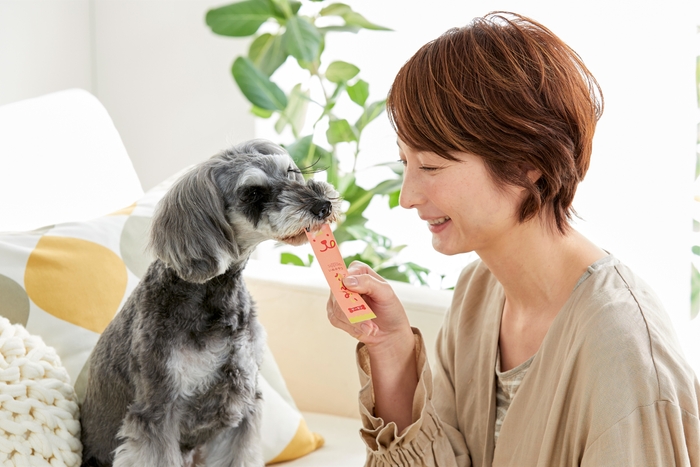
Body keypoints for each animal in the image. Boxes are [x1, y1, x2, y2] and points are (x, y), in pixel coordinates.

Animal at [80, 140, 342, 467]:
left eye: (290, 172)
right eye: (252, 193)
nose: (323, 205)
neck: (216, 296)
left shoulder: (242, 405)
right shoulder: (158, 411)